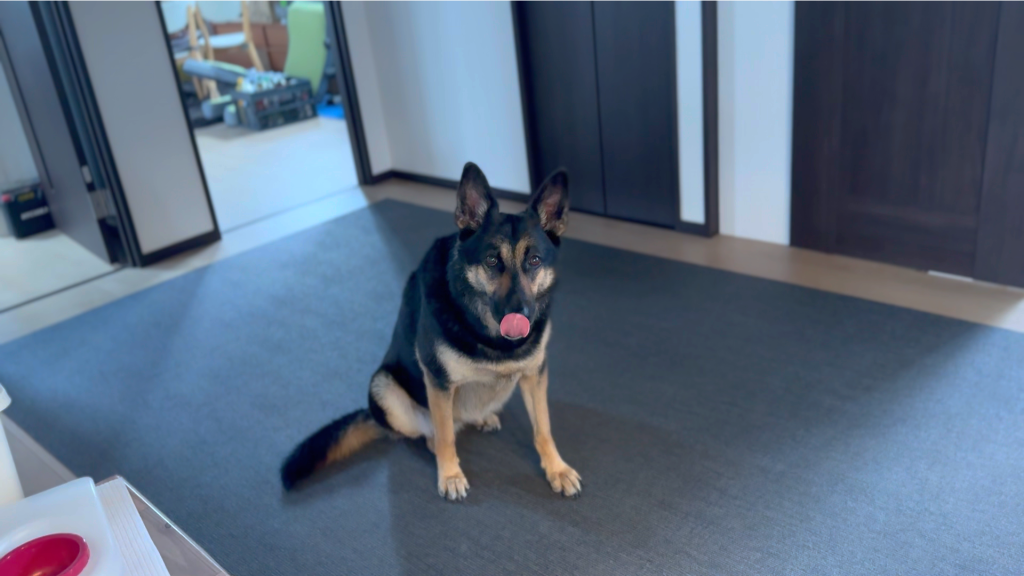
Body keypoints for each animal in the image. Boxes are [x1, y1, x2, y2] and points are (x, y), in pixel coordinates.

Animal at [280, 162, 581, 501]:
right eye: (492, 260)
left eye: (535, 260)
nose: (521, 314)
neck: (488, 334)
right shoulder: (438, 381)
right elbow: (446, 435)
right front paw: (449, 474)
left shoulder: (534, 375)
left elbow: (543, 428)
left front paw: (556, 468)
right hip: (384, 387)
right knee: (435, 432)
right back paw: (437, 445)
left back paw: (482, 417)